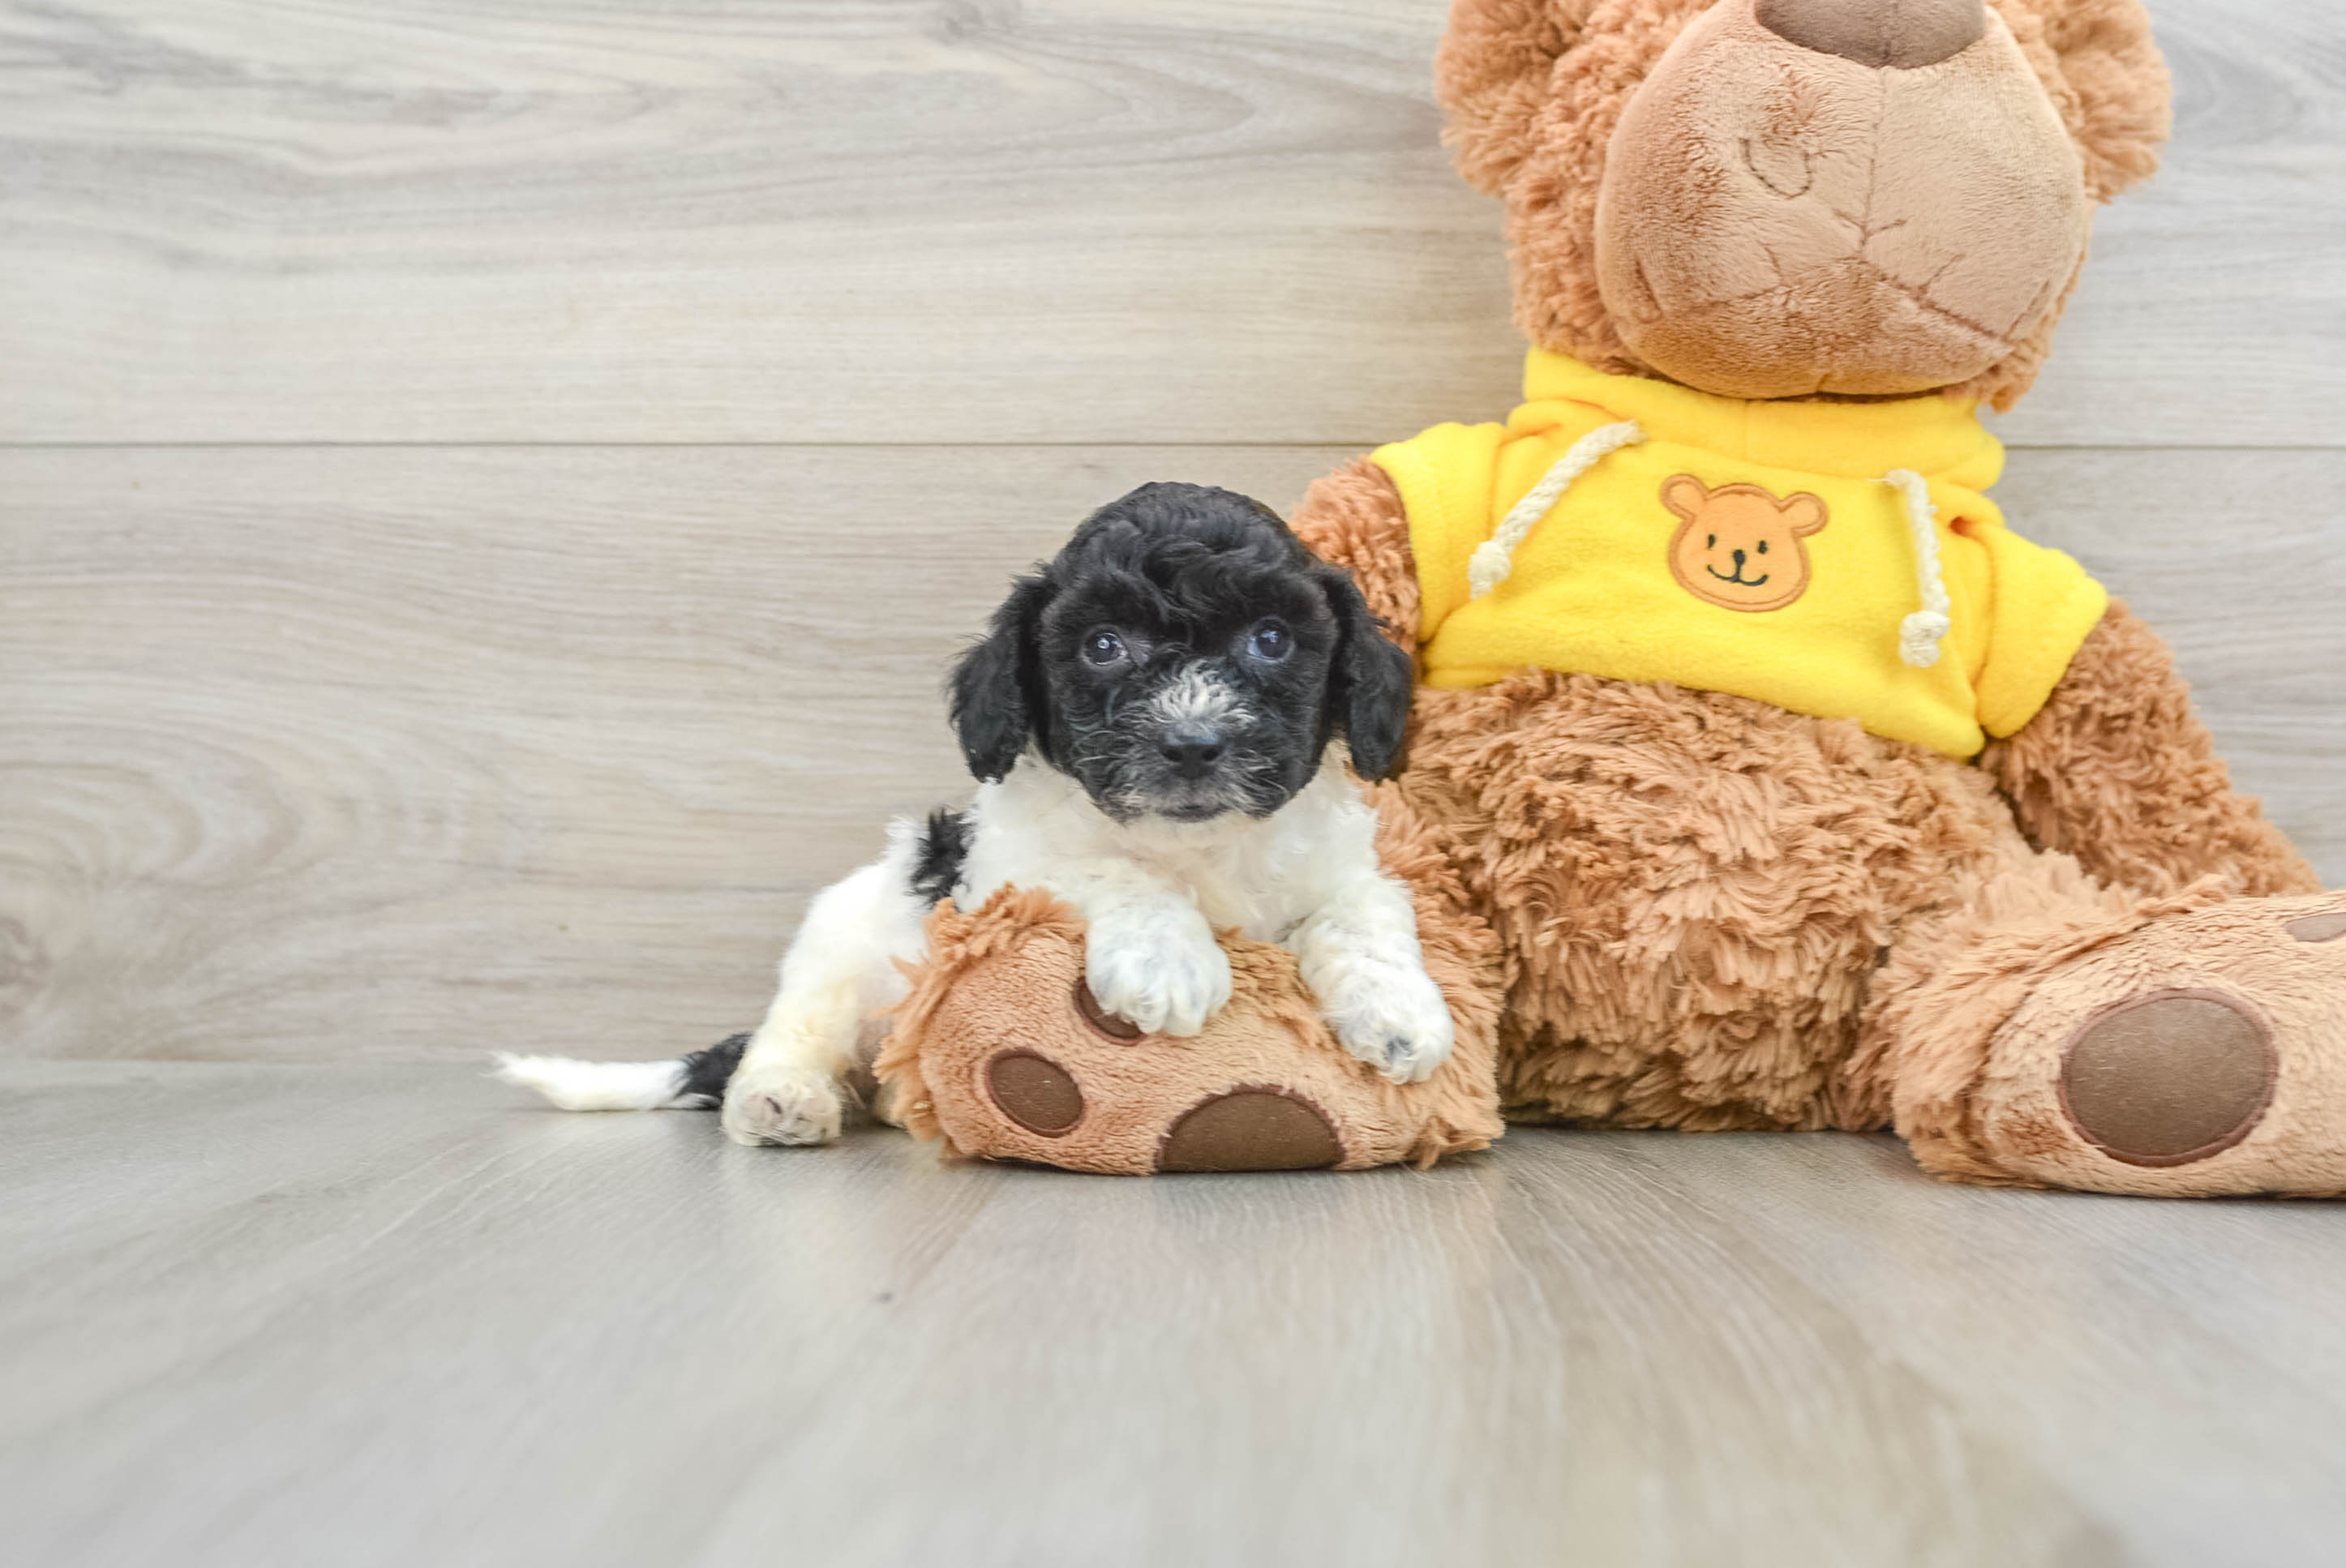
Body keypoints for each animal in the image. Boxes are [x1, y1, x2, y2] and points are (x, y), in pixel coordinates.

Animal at [495, 482, 1445, 1143]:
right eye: (1103, 646)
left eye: (1271, 639)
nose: (1192, 743)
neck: (1198, 845)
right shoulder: (1009, 867)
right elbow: (1112, 871)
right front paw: (1171, 962)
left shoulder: (1338, 864)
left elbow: (1365, 912)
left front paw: (1401, 1017)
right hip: (839, 949)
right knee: (792, 1032)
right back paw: (783, 1098)